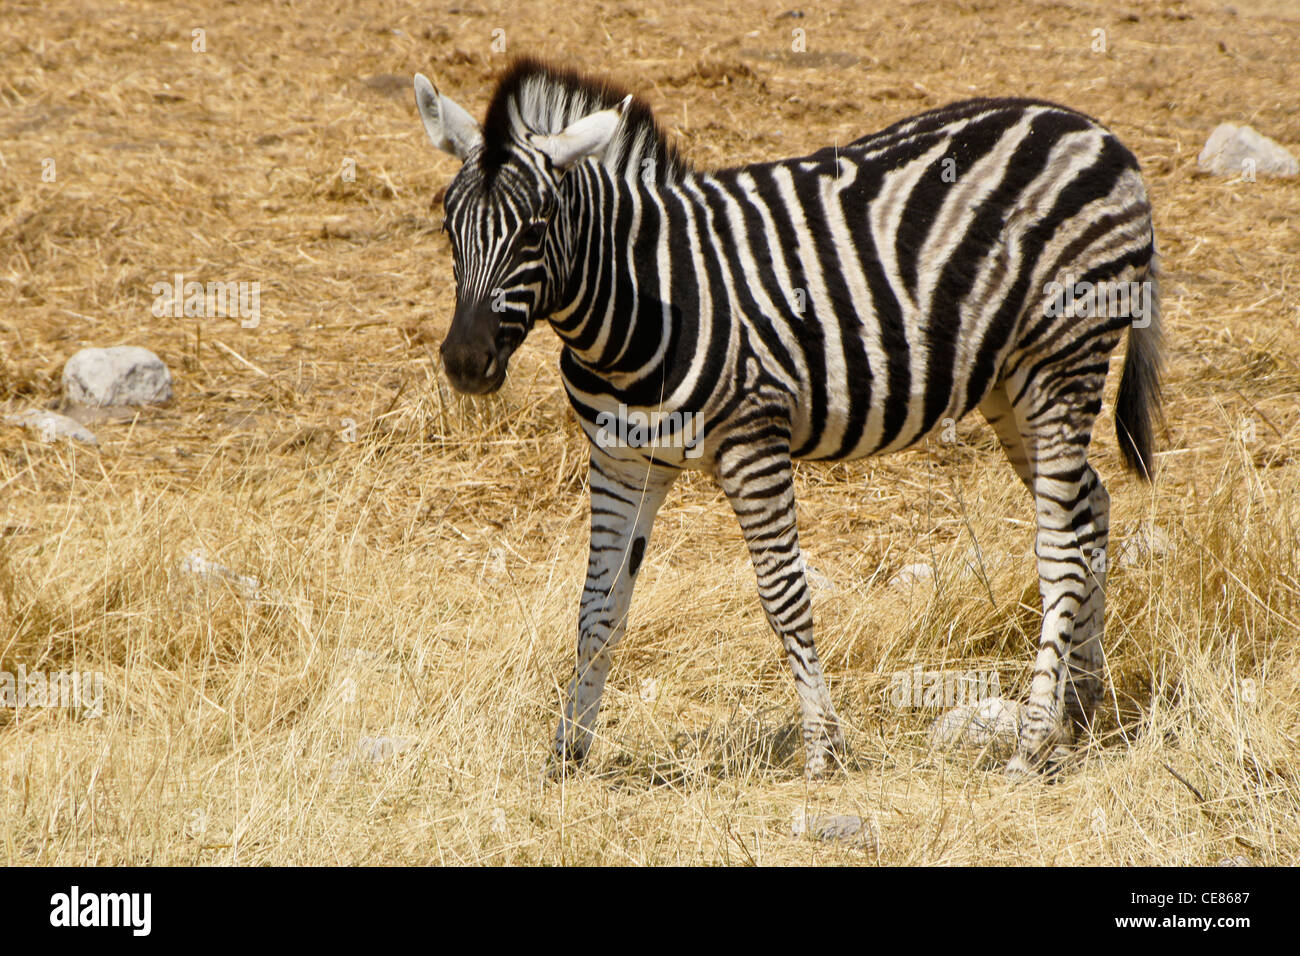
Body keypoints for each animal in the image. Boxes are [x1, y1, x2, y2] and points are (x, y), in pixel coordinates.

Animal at [410, 55, 1164, 780]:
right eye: (447, 224)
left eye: (536, 229)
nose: (465, 362)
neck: (643, 296)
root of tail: (1097, 133)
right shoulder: (621, 456)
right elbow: (598, 607)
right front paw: (568, 751)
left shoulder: (753, 439)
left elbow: (782, 595)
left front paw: (825, 749)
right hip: (1011, 382)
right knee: (1089, 506)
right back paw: (1079, 709)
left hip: (1064, 356)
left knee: (1061, 548)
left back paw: (1033, 743)